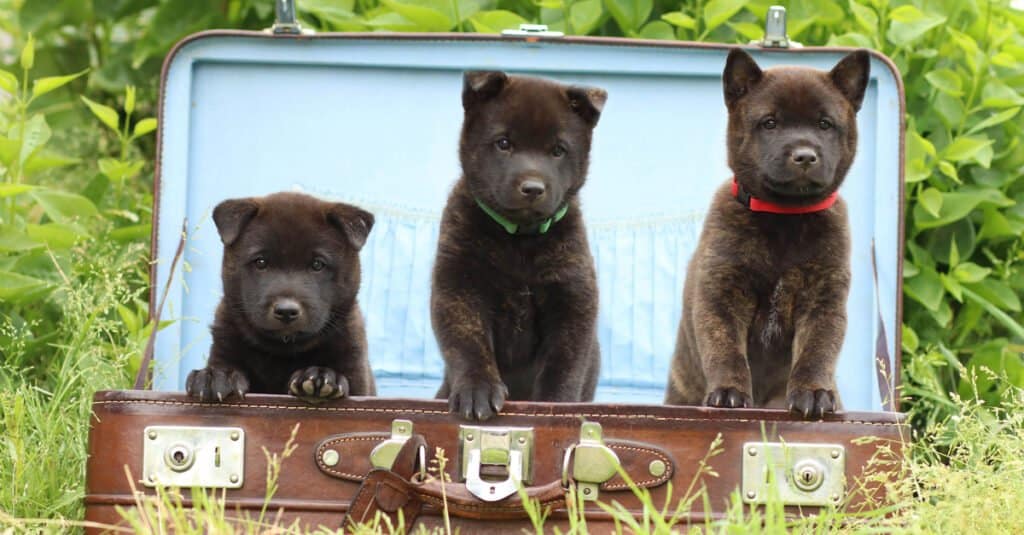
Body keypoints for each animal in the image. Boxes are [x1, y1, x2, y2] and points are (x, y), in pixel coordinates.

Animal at [187, 191, 376, 399]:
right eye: (260, 262)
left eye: (317, 264)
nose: (286, 311)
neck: (283, 349)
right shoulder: (223, 346)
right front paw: (216, 375)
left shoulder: (358, 376)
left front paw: (321, 375)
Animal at [432, 71, 606, 420]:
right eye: (503, 143)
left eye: (558, 150)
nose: (533, 188)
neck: (519, 241)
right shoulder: (458, 287)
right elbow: (469, 346)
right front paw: (477, 391)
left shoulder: (572, 299)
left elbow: (563, 367)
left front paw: (555, 405)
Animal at [663, 48, 872, 416]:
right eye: (770, 122)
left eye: (825, 124)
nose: (805, 156)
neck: (785, 218)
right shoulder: (722, 293)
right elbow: (726, 350)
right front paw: (729, 392)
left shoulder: (823, 299)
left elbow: (816, 352)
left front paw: (814, 393)